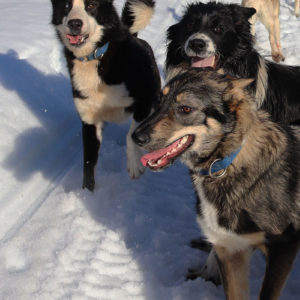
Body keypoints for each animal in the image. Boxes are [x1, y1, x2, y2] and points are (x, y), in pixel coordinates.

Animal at [50, 0, 161, 191]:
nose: (74, 23)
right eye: (66, 6)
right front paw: (88, 192)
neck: (93, 57)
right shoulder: (89, 120)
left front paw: (134, 165)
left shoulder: (144, 102)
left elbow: (131, 135)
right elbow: (88, 162)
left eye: (91, 6)